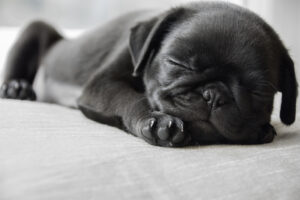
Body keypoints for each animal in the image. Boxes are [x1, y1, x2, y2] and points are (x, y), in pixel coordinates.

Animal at [0, 1, 296, 147]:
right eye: (178, 64)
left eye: (259, 91)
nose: (213, 95)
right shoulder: (102, 84)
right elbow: (131, 98)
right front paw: (156, 122)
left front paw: (262, 130)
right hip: (36, 28)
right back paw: (16, 88)